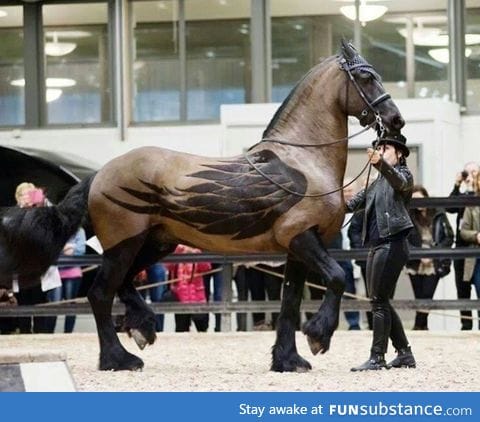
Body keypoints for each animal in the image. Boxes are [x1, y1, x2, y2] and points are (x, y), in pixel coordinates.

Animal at [0, 41, 404, 370]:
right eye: (366, 77)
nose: (396, 120)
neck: (303, 161)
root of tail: (100, 174)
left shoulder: (296, 248)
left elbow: (289, 303)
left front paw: (288, 361)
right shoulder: (303, 238)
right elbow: (336, 277)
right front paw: (318, 337)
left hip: (154, 243)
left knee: (123, 286)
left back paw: (142, 328)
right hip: (124, 245)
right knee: (100, 294)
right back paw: (119, 359)